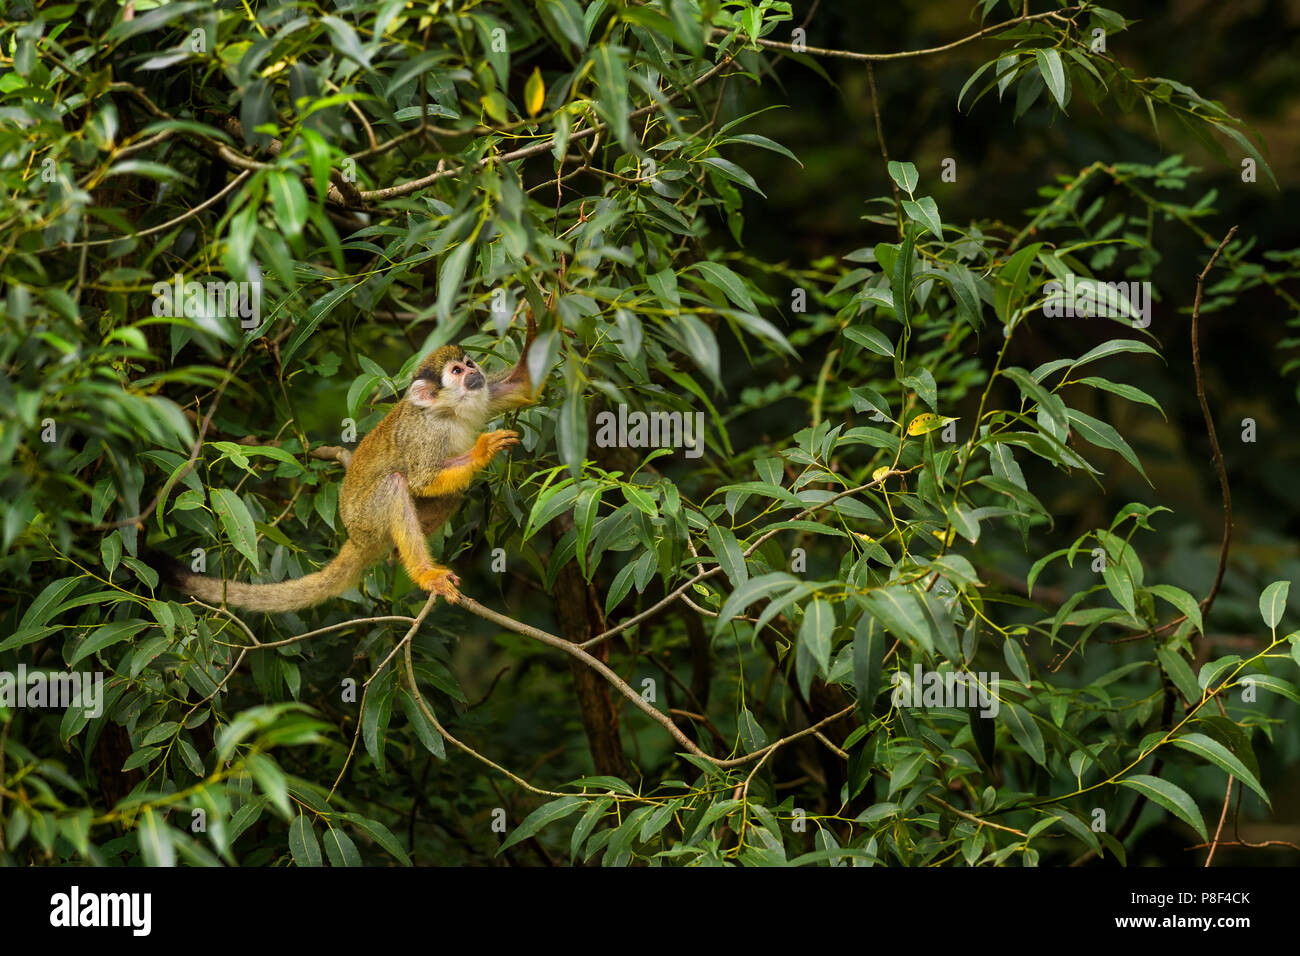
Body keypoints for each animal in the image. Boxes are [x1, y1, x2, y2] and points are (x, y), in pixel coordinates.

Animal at [151, 316, 539, 612]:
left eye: (470, 365)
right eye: (456, 371)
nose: (473, 372)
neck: (451, 411)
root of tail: (353, 536)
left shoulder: (484, 395)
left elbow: (522, 387)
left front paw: (540, 319)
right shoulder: (426, 435)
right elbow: (421, 480)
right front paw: (482, 451)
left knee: (452, 491)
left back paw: (399, 554)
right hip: (366, 521)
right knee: (396, 483)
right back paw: (424, 571)